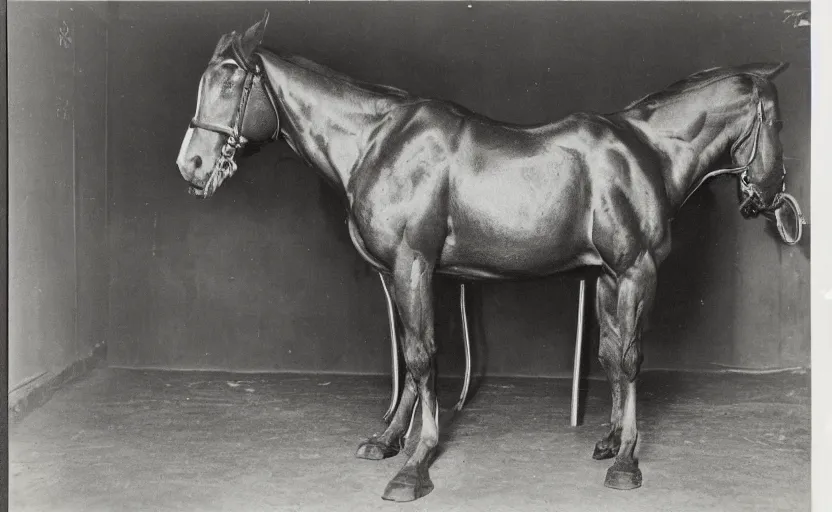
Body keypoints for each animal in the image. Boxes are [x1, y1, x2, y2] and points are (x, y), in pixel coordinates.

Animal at [177, 13, 808, 504]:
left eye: (230, 85)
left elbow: (435, 357)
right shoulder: (404, 273)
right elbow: (415, 358)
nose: (192, 165)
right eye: (212, 83)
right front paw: (388, 441)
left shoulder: (628, 270)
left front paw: (416, 465)